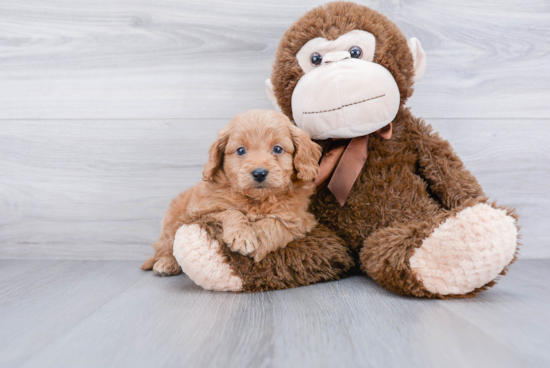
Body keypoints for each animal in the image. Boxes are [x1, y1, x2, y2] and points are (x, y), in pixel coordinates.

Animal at [141, 109, 324, 276]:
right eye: (241, 151)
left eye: (278, 149)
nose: (259, 173)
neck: (256, 200)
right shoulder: (201, 212)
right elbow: (231, 211)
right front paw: (242, 236)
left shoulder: (299, 220)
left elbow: (275, 224)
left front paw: (259, 242)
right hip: (172, 222)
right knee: (166, 246)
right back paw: (166, 263)